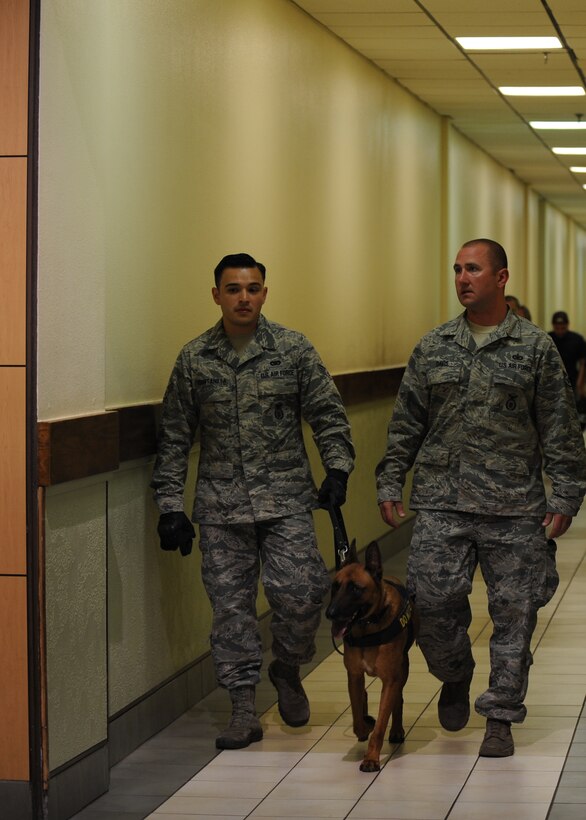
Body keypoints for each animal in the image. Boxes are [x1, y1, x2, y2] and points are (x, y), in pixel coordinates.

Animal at [324, 540, 416, 772]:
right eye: (335, 586)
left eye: (355, 588)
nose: (330, 614)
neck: (368, 626)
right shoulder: (354, 676)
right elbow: (357, 713)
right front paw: (363, 729)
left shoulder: (390, 681)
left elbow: (382, 723)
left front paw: (372, 758)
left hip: (403, 670)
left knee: (398, 700)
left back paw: (397, 730)